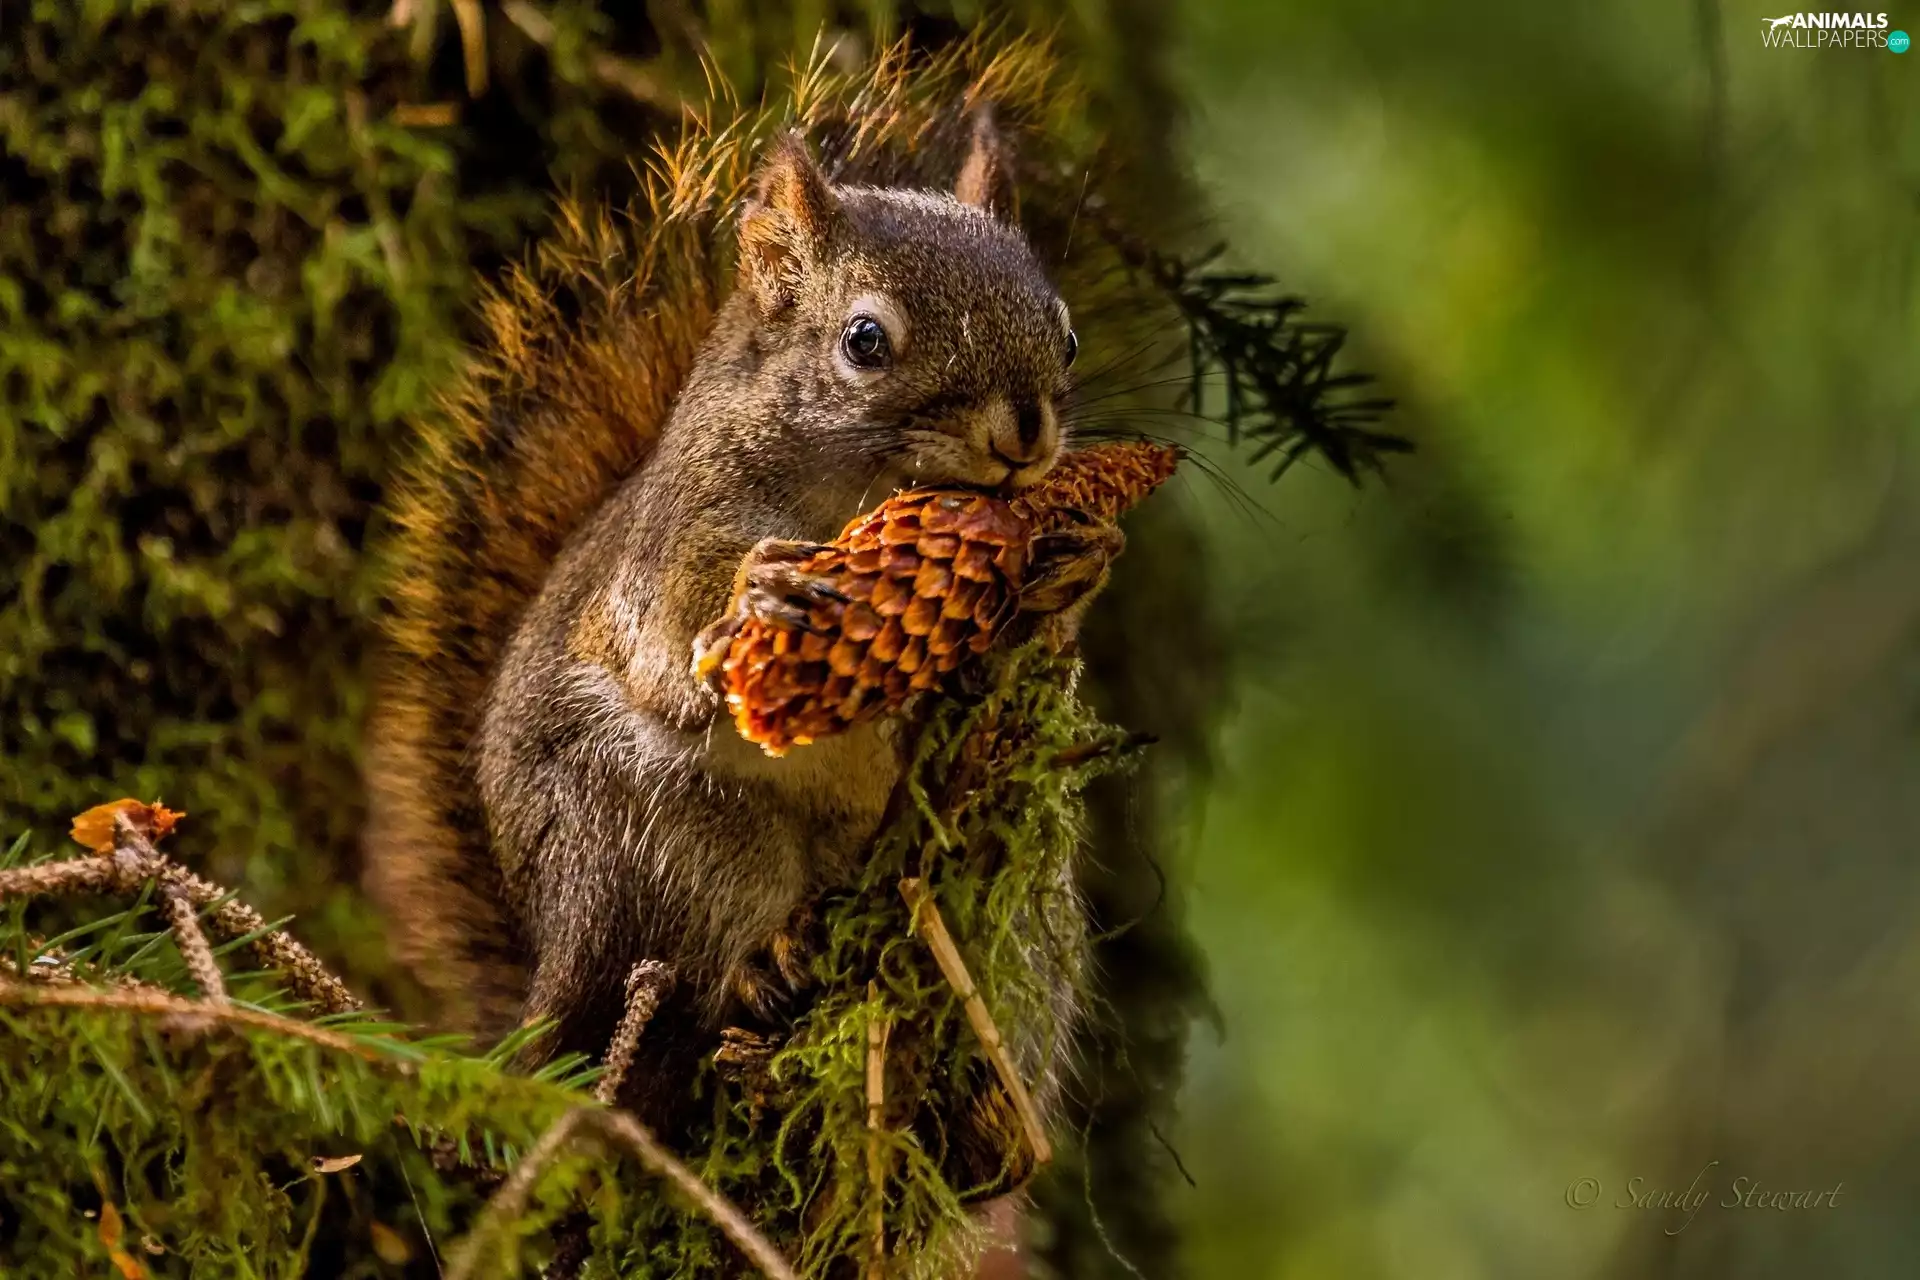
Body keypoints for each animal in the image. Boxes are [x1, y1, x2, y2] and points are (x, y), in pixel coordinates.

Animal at [363, 50, 1101, 1135]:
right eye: (865, 341)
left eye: (1068, 334)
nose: (1024, 435)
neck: (857, 495)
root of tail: (546, 974)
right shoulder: (669, 538)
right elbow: (671, 629)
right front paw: (760, 591)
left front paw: (1070, 567)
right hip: (659, 832)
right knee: (694, 960)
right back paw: (760, 963)